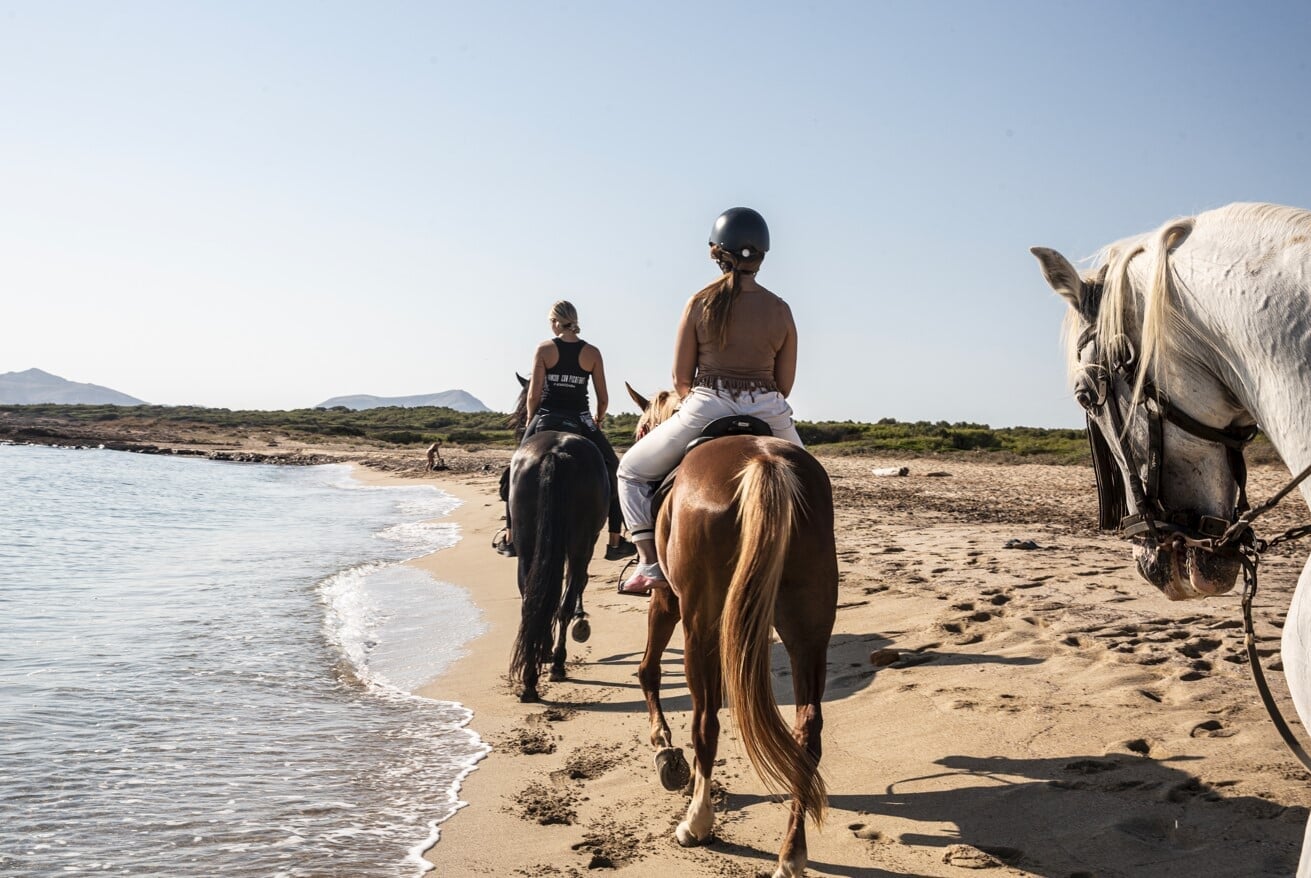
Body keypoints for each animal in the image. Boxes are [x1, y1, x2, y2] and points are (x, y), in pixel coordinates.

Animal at [505, 374, 609, 702]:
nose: (517, 425)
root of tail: (555, 452)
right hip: (579, 545)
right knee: (561, 599)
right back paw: (552, 666)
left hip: (529, 545)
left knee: (534, 599)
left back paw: (534, 675)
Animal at [624, 382, 838, 878]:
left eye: (642, 429)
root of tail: (765, 461)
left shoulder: (667, 600)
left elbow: (647, 670)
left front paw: (664, 750)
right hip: (809, 630)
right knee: (808, 732)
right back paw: (791, 854)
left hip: (699, 623)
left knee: (706, 721)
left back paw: (697, 822)